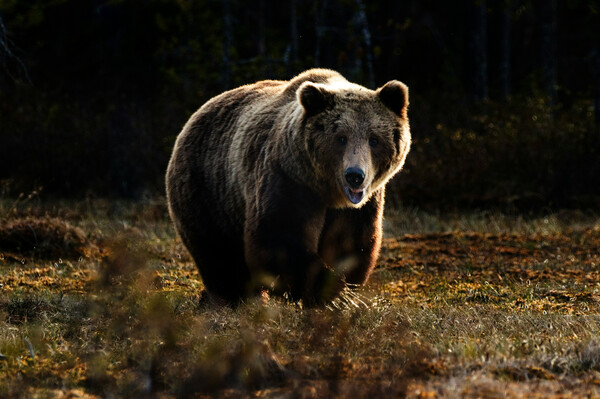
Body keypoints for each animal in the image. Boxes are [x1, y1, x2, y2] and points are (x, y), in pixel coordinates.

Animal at [166, 69, 410, 306]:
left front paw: (342, 290)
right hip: (208, 190)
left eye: (374, 139)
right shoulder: (288, 180)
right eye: (341, 138)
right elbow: (279, 237)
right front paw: (332, 293)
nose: (355, 176)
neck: (327, 191)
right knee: (217, 252)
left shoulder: (360, 206)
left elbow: (351, 243)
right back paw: (233, 297)